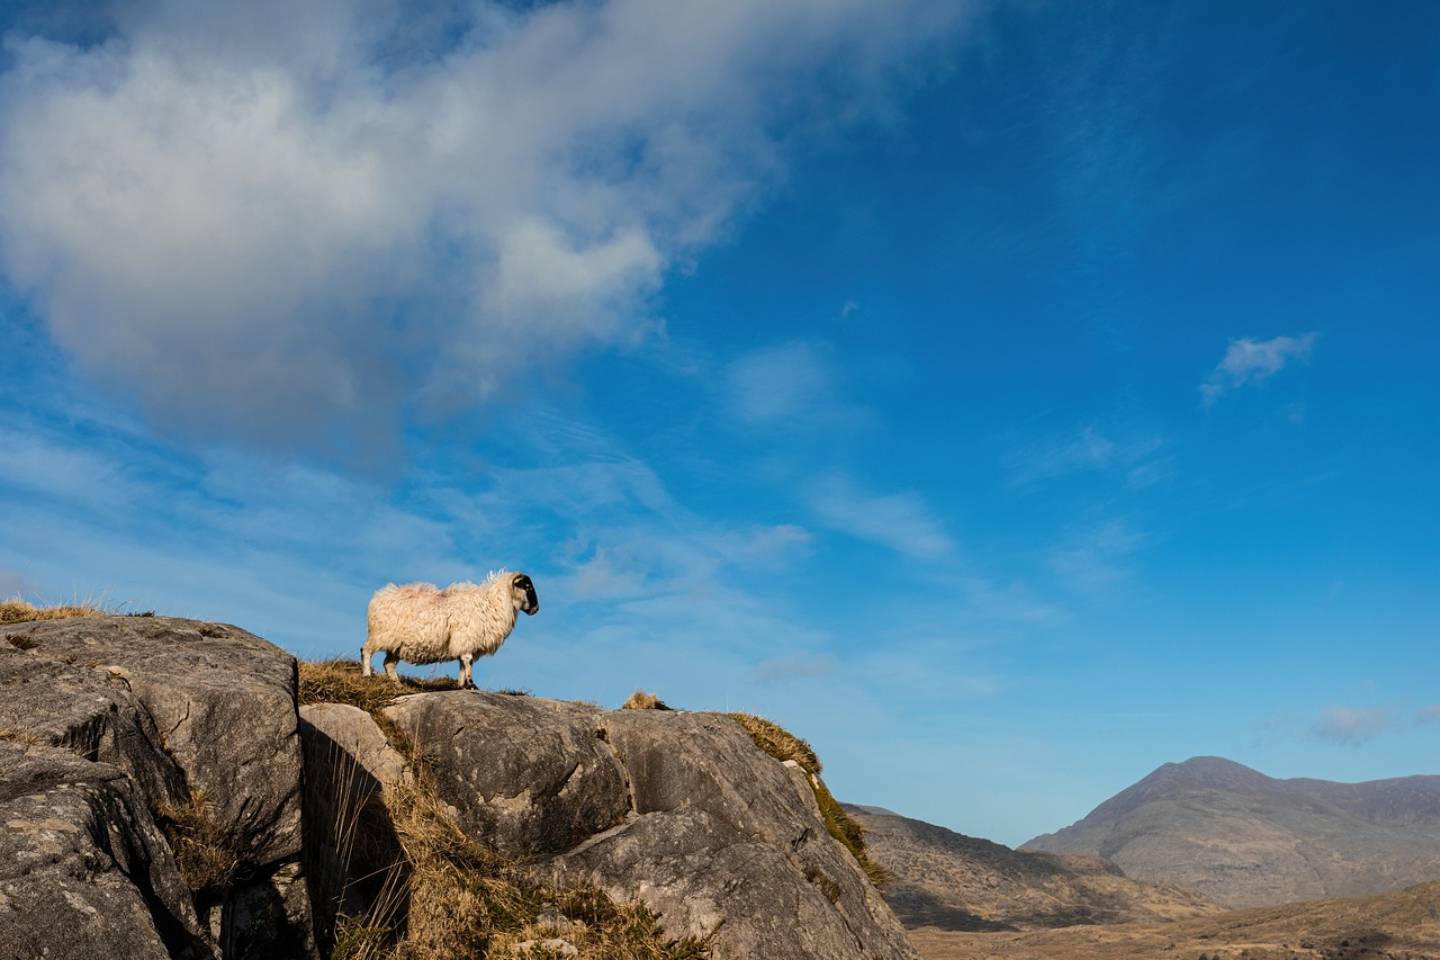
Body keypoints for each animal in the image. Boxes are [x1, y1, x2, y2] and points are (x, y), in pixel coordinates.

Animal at [360, 569, 541, 690]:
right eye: (528, 587)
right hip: (381, 635)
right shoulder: (466, 638)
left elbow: (462, 664)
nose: (536, 609)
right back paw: (367, 674)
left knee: (388, 664)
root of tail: (378, 597)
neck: (493, 603)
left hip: (396, 645)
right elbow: (468, 661)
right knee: (366, 650)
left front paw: (462, 686)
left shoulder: (464, 643)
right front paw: (472, 685)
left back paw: (397, 684)